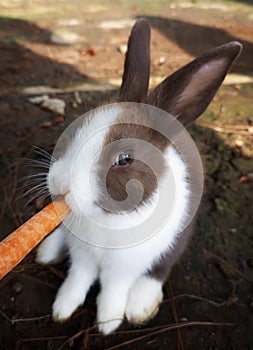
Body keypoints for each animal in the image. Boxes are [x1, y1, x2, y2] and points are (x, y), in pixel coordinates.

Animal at [35, 18, 241, 334]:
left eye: (124, 159)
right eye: (77, 128)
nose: (61, 184)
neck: (106, 219)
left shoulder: (125, 267)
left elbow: (112, 289)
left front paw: (108, 322)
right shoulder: (82, 256)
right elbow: (78, 279)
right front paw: (63, 308)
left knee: (160, 269)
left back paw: (140, 306)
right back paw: (47, 250)